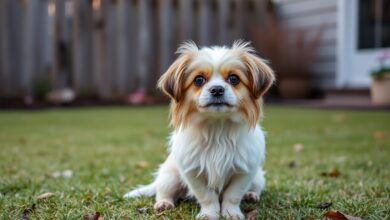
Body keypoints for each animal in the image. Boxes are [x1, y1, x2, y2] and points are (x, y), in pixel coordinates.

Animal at [124, 40, 274, 219]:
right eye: (199, 80)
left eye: (234, 79)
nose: (217, 89)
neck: (217, 129)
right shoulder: (192, 171)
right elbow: (207, 196)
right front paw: (210, 214)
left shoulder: (245, 171)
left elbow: (233, 195)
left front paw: (230, 213)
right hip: (170, 176)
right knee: (163, 192)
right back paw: (164, 204)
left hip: (258, 177)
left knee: (255, 188)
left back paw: (251, 195)